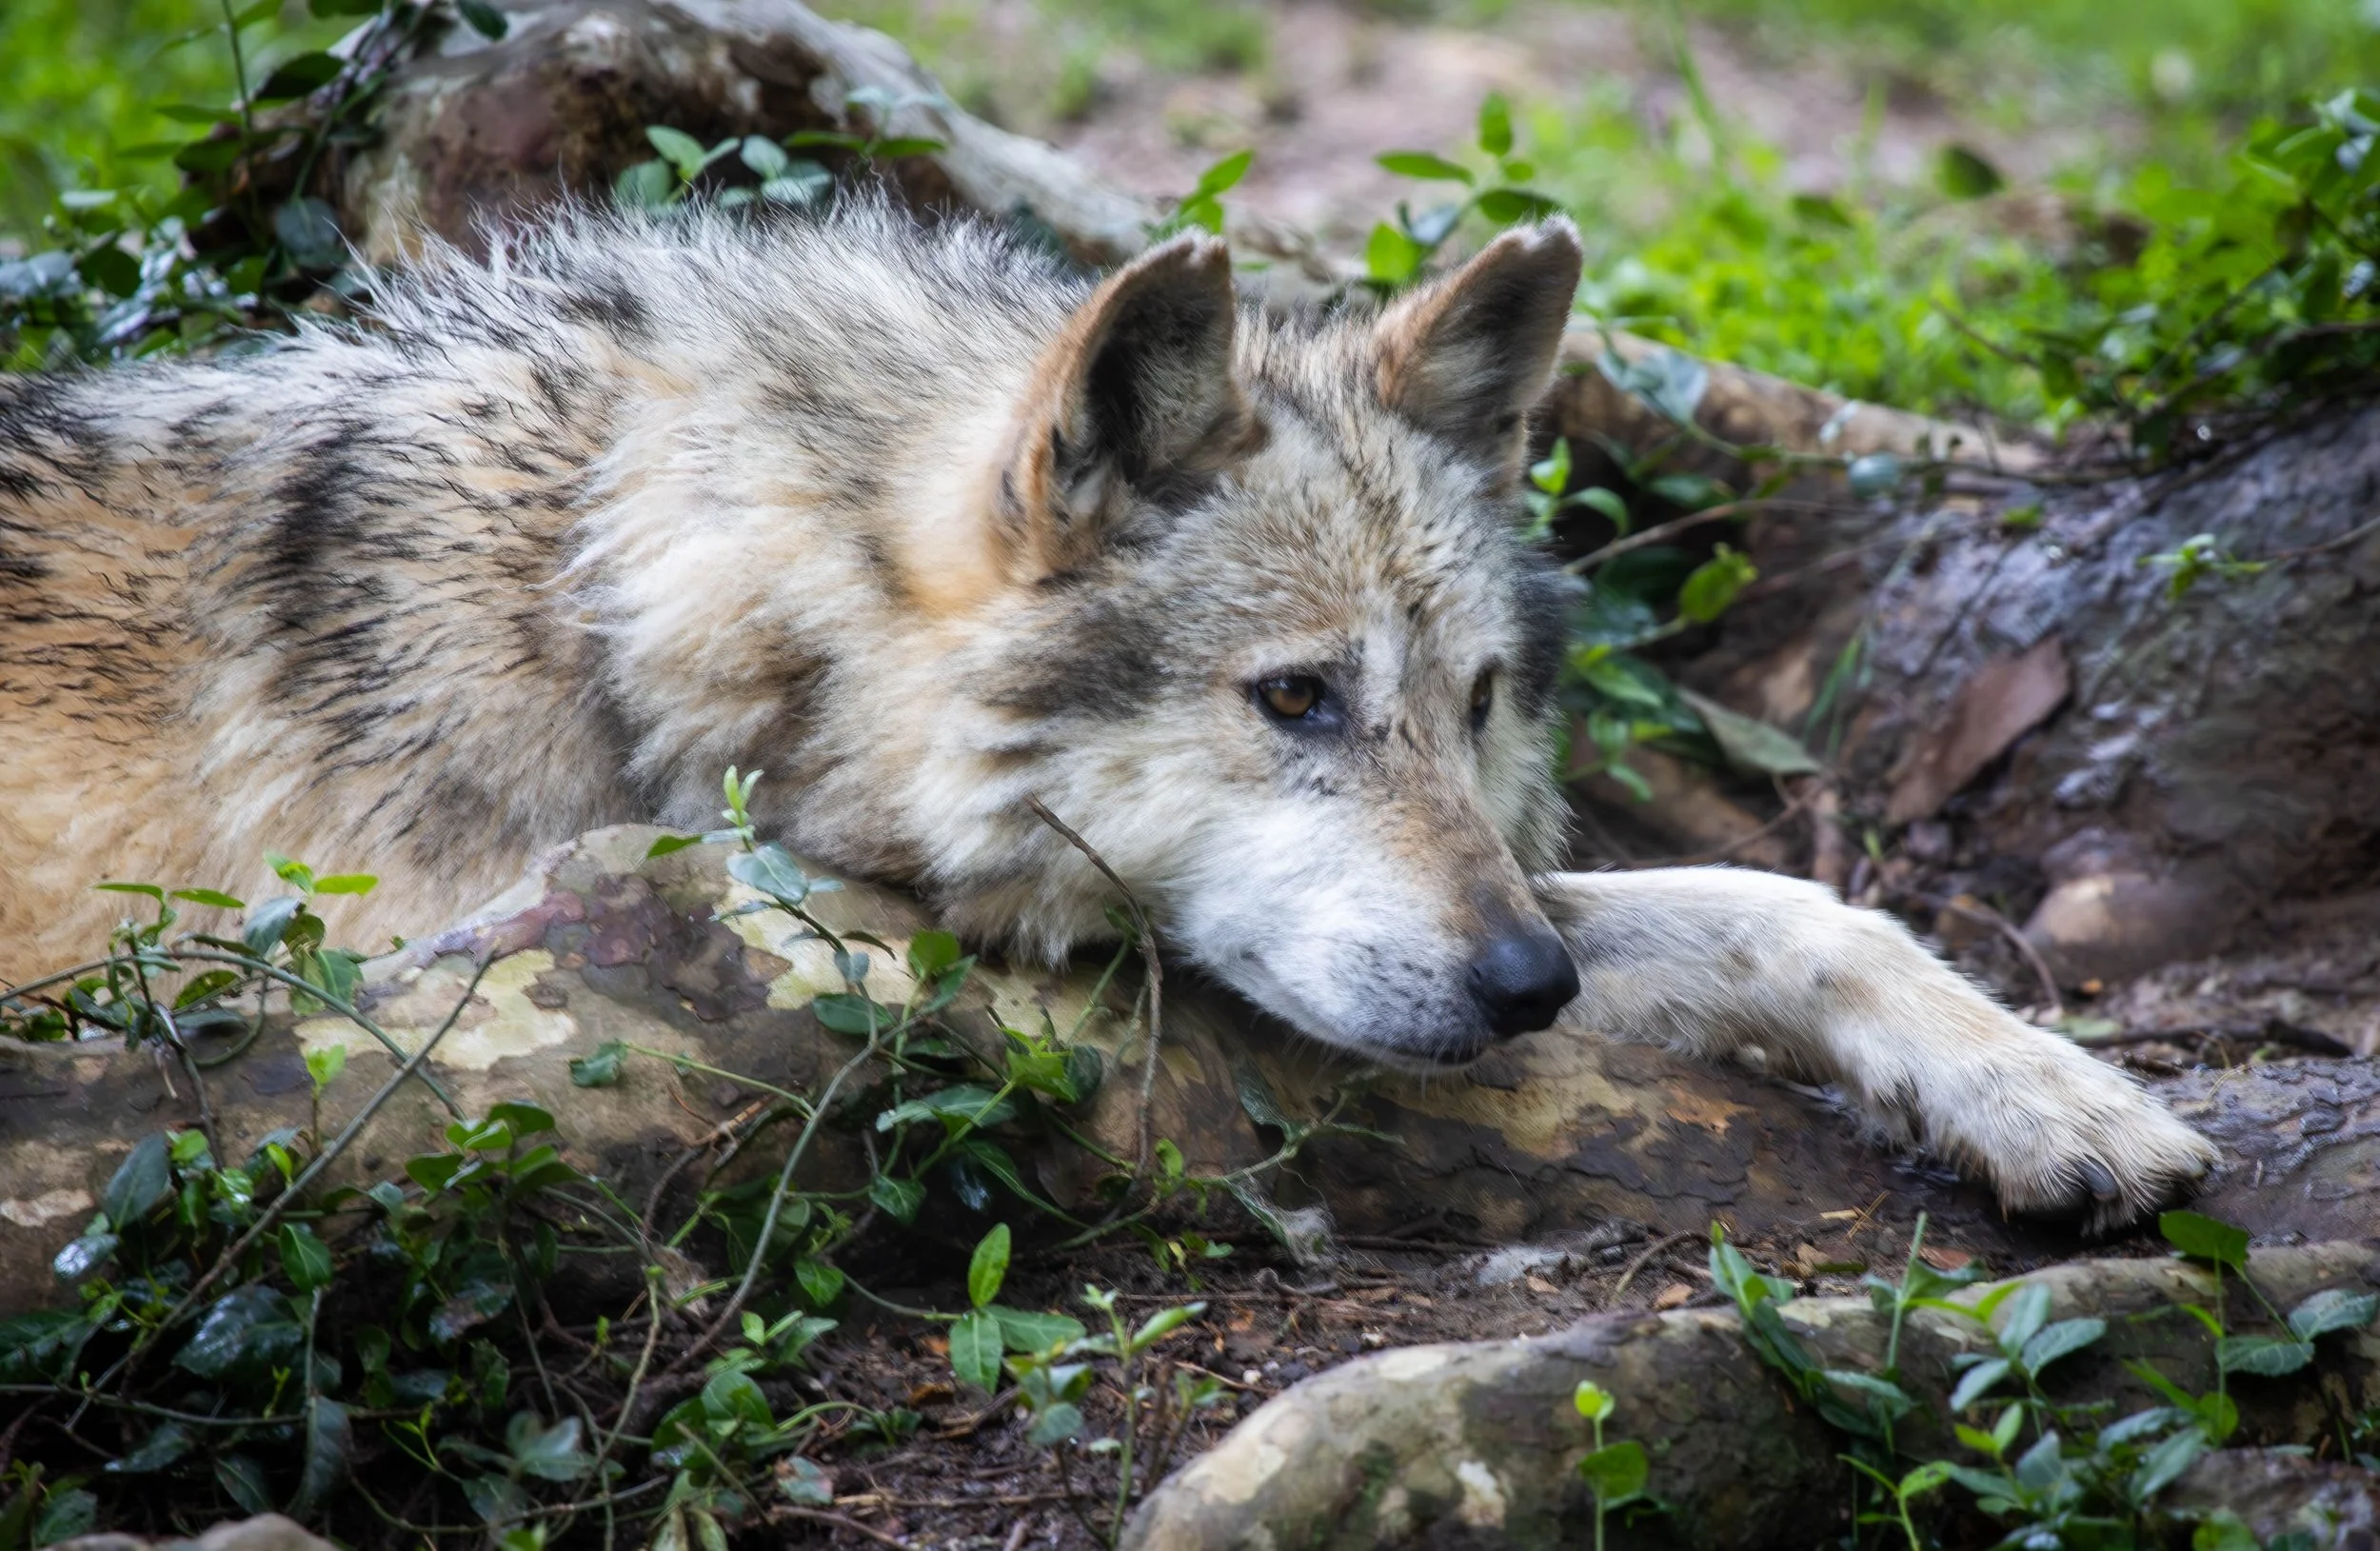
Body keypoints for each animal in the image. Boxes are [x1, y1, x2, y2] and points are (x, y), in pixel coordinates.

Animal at [0, 198, 2213, 1228]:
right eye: (1296, 698)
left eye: (1473, 700)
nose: (1529, 993)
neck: (614, 600)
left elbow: (1800, 907)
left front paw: (2058, 1097)